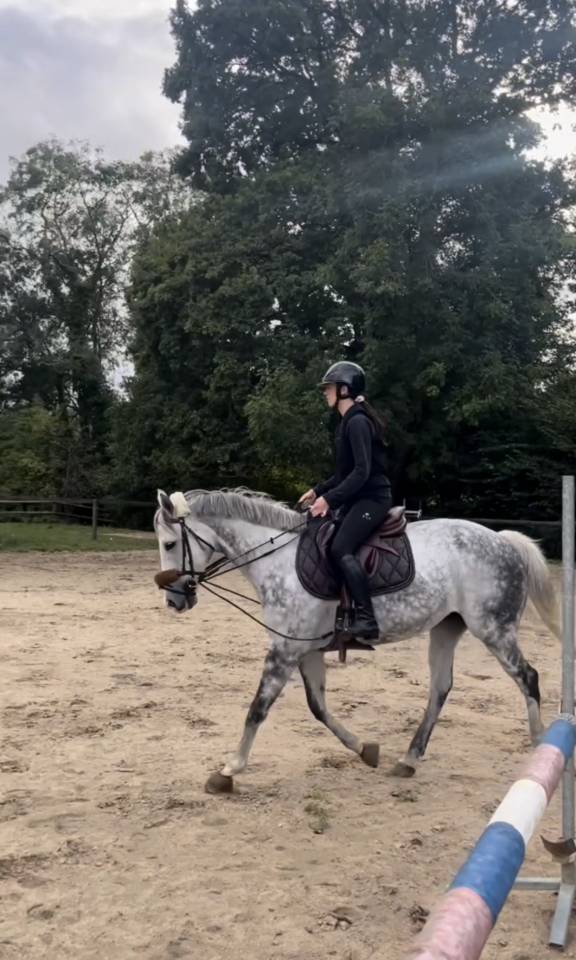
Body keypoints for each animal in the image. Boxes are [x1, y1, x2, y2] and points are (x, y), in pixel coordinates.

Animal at [152, 487, 560, 794]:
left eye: (170, 544)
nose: (174, 600)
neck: (277, 560)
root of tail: (503, 540)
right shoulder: (305, 649)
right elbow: (318, 707)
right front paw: (364, 749)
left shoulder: (284, 651)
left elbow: (257, 708)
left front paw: (229, 770)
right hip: (447, 628)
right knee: (441, 688)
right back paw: (409, 759)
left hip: (494, 628)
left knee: (528, 678)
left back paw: (537, 747)